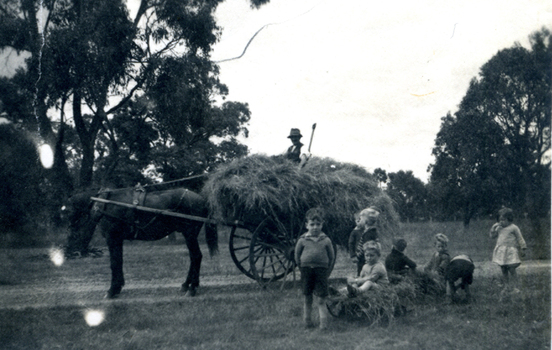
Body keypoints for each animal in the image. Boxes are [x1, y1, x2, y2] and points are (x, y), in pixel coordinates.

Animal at [67, 185, 218, 300]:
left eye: (67, 210)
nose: (70, 229)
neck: (105, 203)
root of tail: (202, 199)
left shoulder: (112, 238)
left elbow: (114, 263)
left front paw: (112, 290)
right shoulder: (118, 239)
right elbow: (119, 261)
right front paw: (118, 286)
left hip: (190, 234)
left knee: (196, 256)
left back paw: (192, 288)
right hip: (189, 235)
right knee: (193, 258)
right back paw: (186, 285)